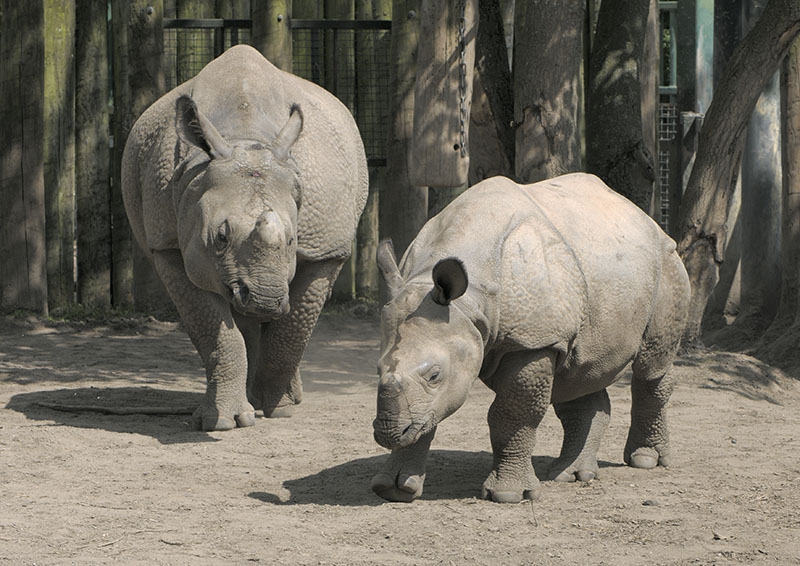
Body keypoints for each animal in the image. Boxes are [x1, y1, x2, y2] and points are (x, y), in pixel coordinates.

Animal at [122, 45, 367, 431]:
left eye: (294, 241)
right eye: (220, 236)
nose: (266, 299)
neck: (246, 138)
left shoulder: (326, 249)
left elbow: (294, 328)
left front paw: (278, 407)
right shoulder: (169, 245)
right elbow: (216, 331)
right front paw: (223, 421)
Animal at [372, 173, 690, 503]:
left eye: (434, 375)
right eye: (377, 370)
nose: (388, 433)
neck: (470, 301)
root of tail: (644, 217)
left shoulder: (533, 342)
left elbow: (513, 414)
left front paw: (508, 495)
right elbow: (427, 415)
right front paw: (393, 489)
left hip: (666, 264)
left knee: (650, 367)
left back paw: (645, 460)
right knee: (577, 373)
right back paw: (571, 475)